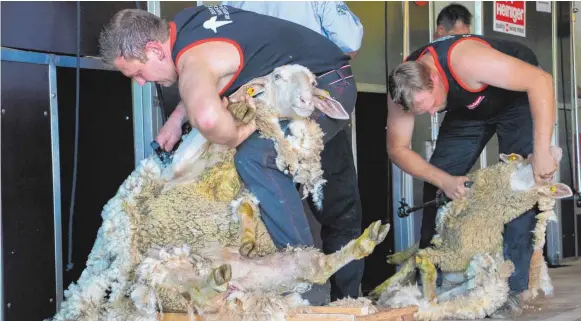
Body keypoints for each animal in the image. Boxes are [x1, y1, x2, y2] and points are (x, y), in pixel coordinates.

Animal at [51, 65, 390, 320]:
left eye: (314, 81)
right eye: (277, 76)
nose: (307, 100)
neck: (218, 162)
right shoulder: (176, 170)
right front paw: (238, 108)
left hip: (271, 271)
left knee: (316, 269)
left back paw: (366, 240)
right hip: (161, 275)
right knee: (196, 294)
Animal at [368, 146, 572, 320]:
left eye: (550, 182)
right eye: (529, 156)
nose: (556, 149)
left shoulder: (454, 253)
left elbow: (420, 258)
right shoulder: (441, 230)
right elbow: (415, 254)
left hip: (469, 279)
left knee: (427, 276)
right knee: (417, 254)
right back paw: (391, 268)